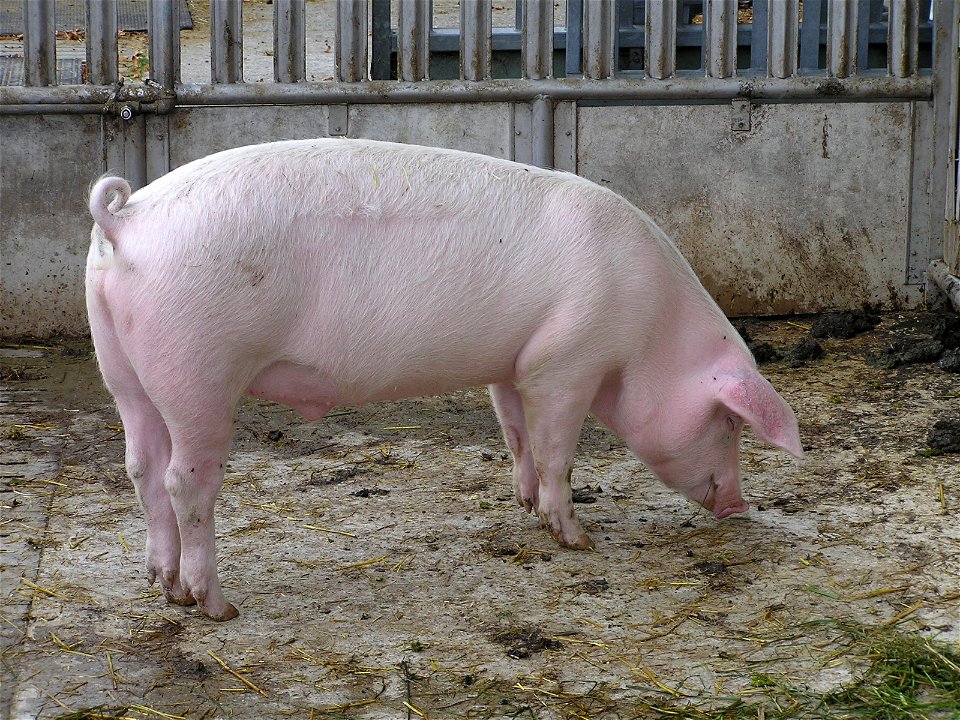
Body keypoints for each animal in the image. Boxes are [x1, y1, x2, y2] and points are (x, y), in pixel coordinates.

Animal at [86, 138, 800, 620]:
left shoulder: (513, 364)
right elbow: (558, 450)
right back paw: (216, 605)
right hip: (198, 374)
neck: (650, 330)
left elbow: (516, 435)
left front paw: (524, 506)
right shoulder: (565, 361)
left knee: (141, 467)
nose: (739, 507)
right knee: (185, 482)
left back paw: (163, 585)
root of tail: (124, 219)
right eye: (729, 423)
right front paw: (576, 538)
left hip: (123, 371)